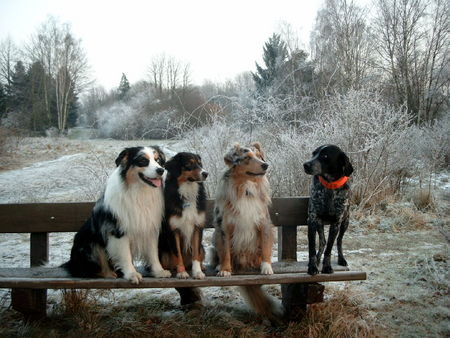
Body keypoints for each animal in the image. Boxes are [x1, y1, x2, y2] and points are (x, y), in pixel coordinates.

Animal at [302, 145, 356, 274]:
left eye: (325, 156)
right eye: (314, 154)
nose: (305, 165)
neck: (329, 186)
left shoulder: (336, 223)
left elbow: (329, 249)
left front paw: (327, 266)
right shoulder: (312, 220)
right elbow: (312, 248)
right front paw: (313, 266)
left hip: (345, 223)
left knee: (338, 241)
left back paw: (341, 259)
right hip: (319, 223)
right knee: (322, 242)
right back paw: (317, 260)